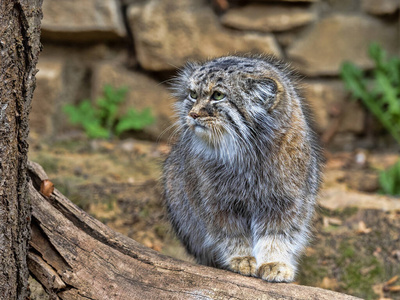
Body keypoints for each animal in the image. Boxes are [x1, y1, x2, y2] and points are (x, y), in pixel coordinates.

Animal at [162, 55, 322, 282]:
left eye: (218, 95)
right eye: (193, 94)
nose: (192, 114)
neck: (247, 155)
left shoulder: (286, 202)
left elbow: (278, 234)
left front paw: (275, 262)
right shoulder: (218, 204)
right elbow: (231, 234)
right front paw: (242, 258)